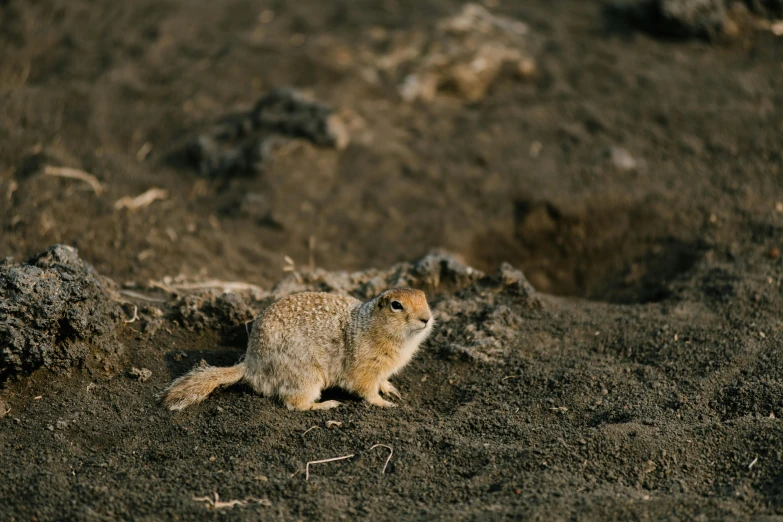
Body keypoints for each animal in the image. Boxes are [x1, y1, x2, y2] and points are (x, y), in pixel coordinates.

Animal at [163, 286, 434, 408]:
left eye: (425, 297)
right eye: (396, 305)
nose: (426, 318)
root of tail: (250, 364)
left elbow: (382, 381)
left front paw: (390, 389)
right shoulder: (365, 368)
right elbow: (367, 390)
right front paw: (384, 403)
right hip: (306, 377)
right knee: (295, 404)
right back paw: (326, 405)